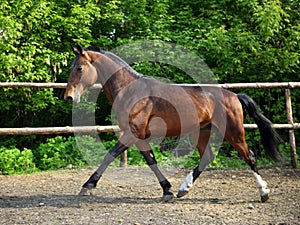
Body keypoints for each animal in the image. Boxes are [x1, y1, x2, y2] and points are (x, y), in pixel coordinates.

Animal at [63, 43, 282, 202]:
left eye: (80, 68)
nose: (68, 98)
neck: (131, 90)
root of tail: (234, 95)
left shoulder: (132, 133)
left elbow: (110, 155)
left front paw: (87, 186)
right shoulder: (138, 136)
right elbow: (151, 160)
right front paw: (167, 190)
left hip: (233, 132)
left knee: (249, 156)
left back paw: (264, 193)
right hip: (202, 131)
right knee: (207, 157)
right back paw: (183, 189)